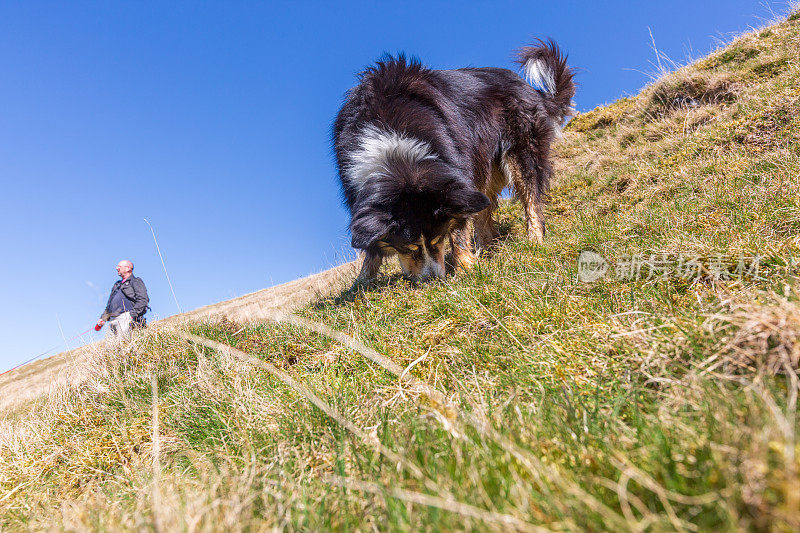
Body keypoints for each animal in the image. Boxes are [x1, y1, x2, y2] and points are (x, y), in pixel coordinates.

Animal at [332, 40, 576, 282]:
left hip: (521, 150)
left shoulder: (454, 178)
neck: (398, 154)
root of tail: (531, 90)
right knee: (484, 209)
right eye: (409, 247)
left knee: (530, 197)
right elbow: (371, 247)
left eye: (437, 239)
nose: (433, 280)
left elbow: (458, 229)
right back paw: (485, 249)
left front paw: (465, 268)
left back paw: (533, 240)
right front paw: (362, 282)